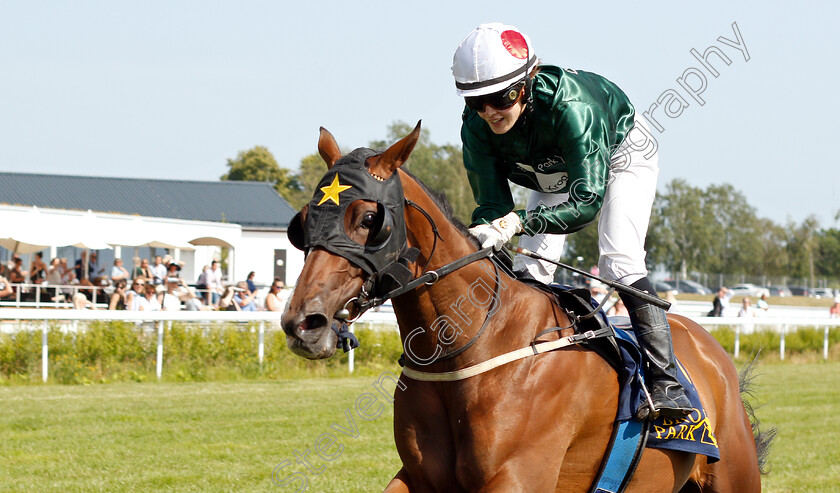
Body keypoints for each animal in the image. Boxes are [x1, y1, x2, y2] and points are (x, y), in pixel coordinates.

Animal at [284, 122, 776, 488]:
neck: (470, 347)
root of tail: (711, 351)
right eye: (303, 221)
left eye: (369, 218)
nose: (302, 323)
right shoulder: (418, 477)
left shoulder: (517, 477)